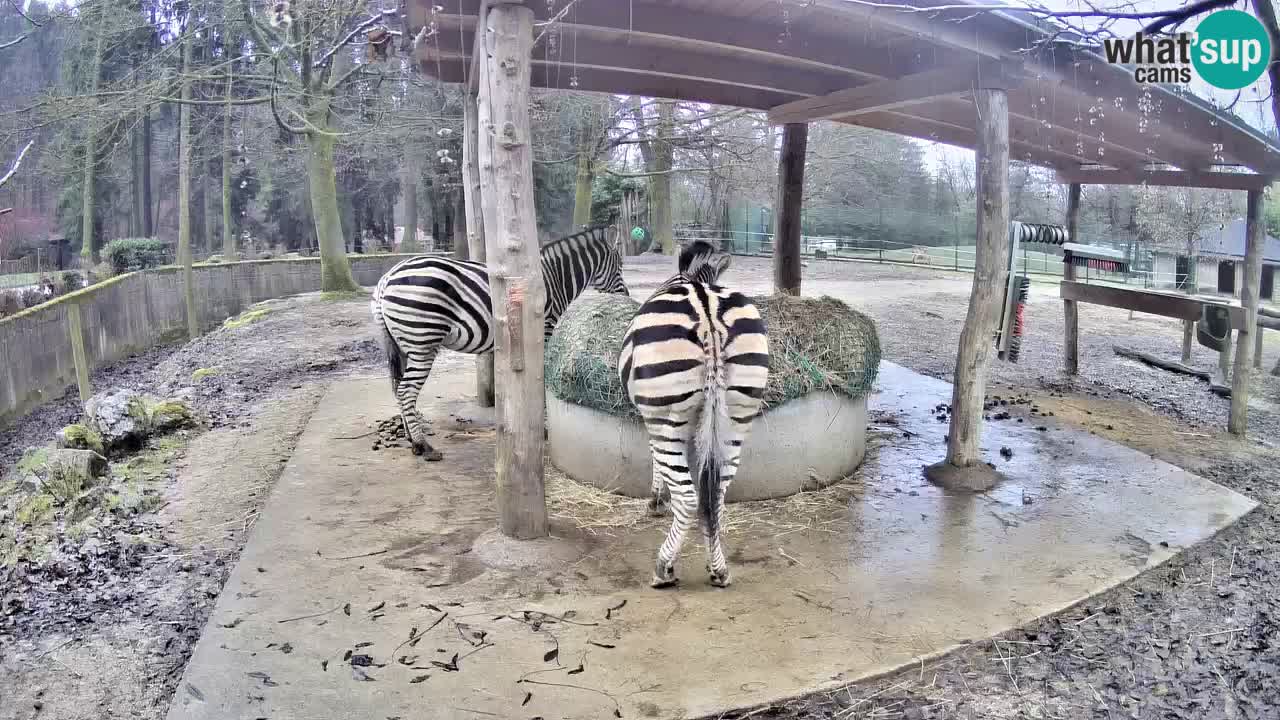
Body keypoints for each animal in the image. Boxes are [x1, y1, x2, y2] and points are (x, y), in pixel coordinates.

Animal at [371, 225, 629, 458]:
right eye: (619, 266)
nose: (626, 295)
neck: (554, 279)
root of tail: (386, 278)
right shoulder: (542, 332)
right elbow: (539, 382)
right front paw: (542, 425)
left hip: (401, 344)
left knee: (397, 388)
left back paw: (409, 438)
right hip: (422, 342)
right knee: (406, 390)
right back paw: (423, 446)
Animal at [619, 240, 768, 589]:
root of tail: (708, 315)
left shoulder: (652, 416)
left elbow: (657, 460)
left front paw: (656, 500)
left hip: (667, 414)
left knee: (689, 498)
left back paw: (664, 569)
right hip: (737, 414)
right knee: (716, 496)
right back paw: (718, 569)